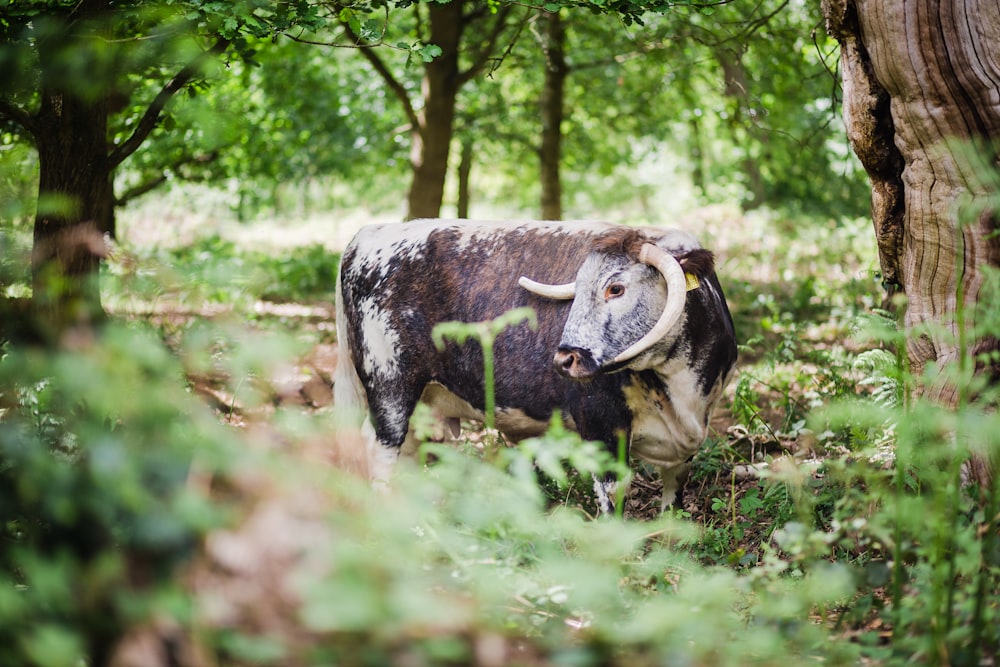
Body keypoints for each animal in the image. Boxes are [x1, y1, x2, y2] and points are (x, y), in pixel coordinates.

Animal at [334, 222, 736, 516]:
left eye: (616, 288)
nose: (564, 359)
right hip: (390, 387)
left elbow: (675, 489)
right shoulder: (601, 425)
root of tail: (368, 233)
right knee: (381, 450)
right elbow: (612, 492)